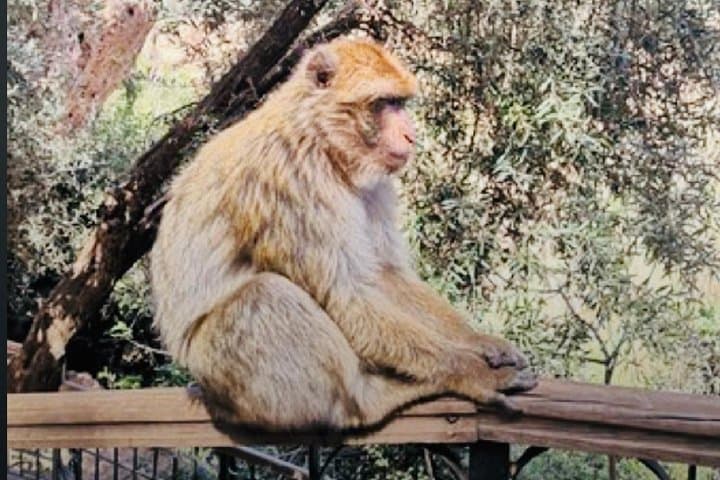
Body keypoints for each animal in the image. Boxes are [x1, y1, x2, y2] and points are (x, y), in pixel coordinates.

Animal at [149, 37, 537, 432]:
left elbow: (381, 274)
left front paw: (479, 342)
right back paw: (369, 401)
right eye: (383, 104)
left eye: (400, 103)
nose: (410, 134)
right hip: (228, 377)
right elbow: (345, 295)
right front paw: (468, 371)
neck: (320, 140)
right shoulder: (289, 180)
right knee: (264, 295)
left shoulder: (374, 183)